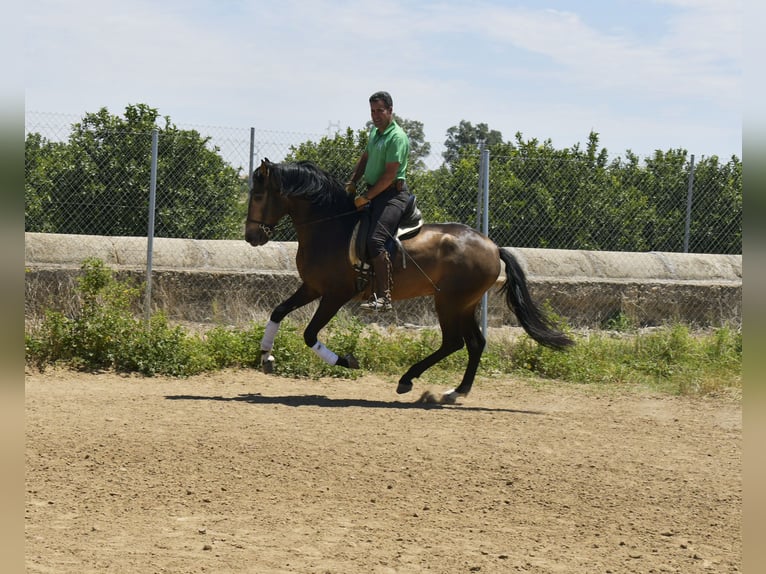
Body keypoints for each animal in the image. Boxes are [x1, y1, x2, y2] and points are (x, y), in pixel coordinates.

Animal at [246, 159, 576, 404]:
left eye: (259, 196)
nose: (251, 236)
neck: (331, 227)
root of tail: (493, 247)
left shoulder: (335, 294)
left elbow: (309, 334)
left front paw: (348, 361)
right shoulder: (313, 287)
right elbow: (278, 311)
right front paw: (266, 355)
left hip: (449, 301)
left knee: (454, 342)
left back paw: (408, 379)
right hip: (463, 303)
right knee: (475, 343)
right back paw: (456, 391)